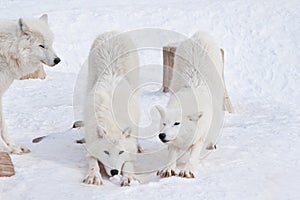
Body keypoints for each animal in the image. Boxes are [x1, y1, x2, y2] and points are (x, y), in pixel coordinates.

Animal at [0, 14, 61, 154]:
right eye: (41, 46)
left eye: (50, 44)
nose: (58, 60)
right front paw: (5, 148)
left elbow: (3, 126)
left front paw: (14, 147)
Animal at [83, 30, 141, 186]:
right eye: (106, 152)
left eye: (121, 152)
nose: (115, 172)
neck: (110, 119)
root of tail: (112, 32)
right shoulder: (91, 144)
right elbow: (92, 161)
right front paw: (94, 176)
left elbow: (128, 163)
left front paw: (129, 177)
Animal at [157, 31, 225, 178]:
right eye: (164, 123)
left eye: (177, 123)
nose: (161, 135)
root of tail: (199, 35)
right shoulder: (174, 142)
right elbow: (172, 152)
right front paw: (168, 169)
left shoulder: (200, 136)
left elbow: (193, 155)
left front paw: (187, 171)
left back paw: (211, 144)